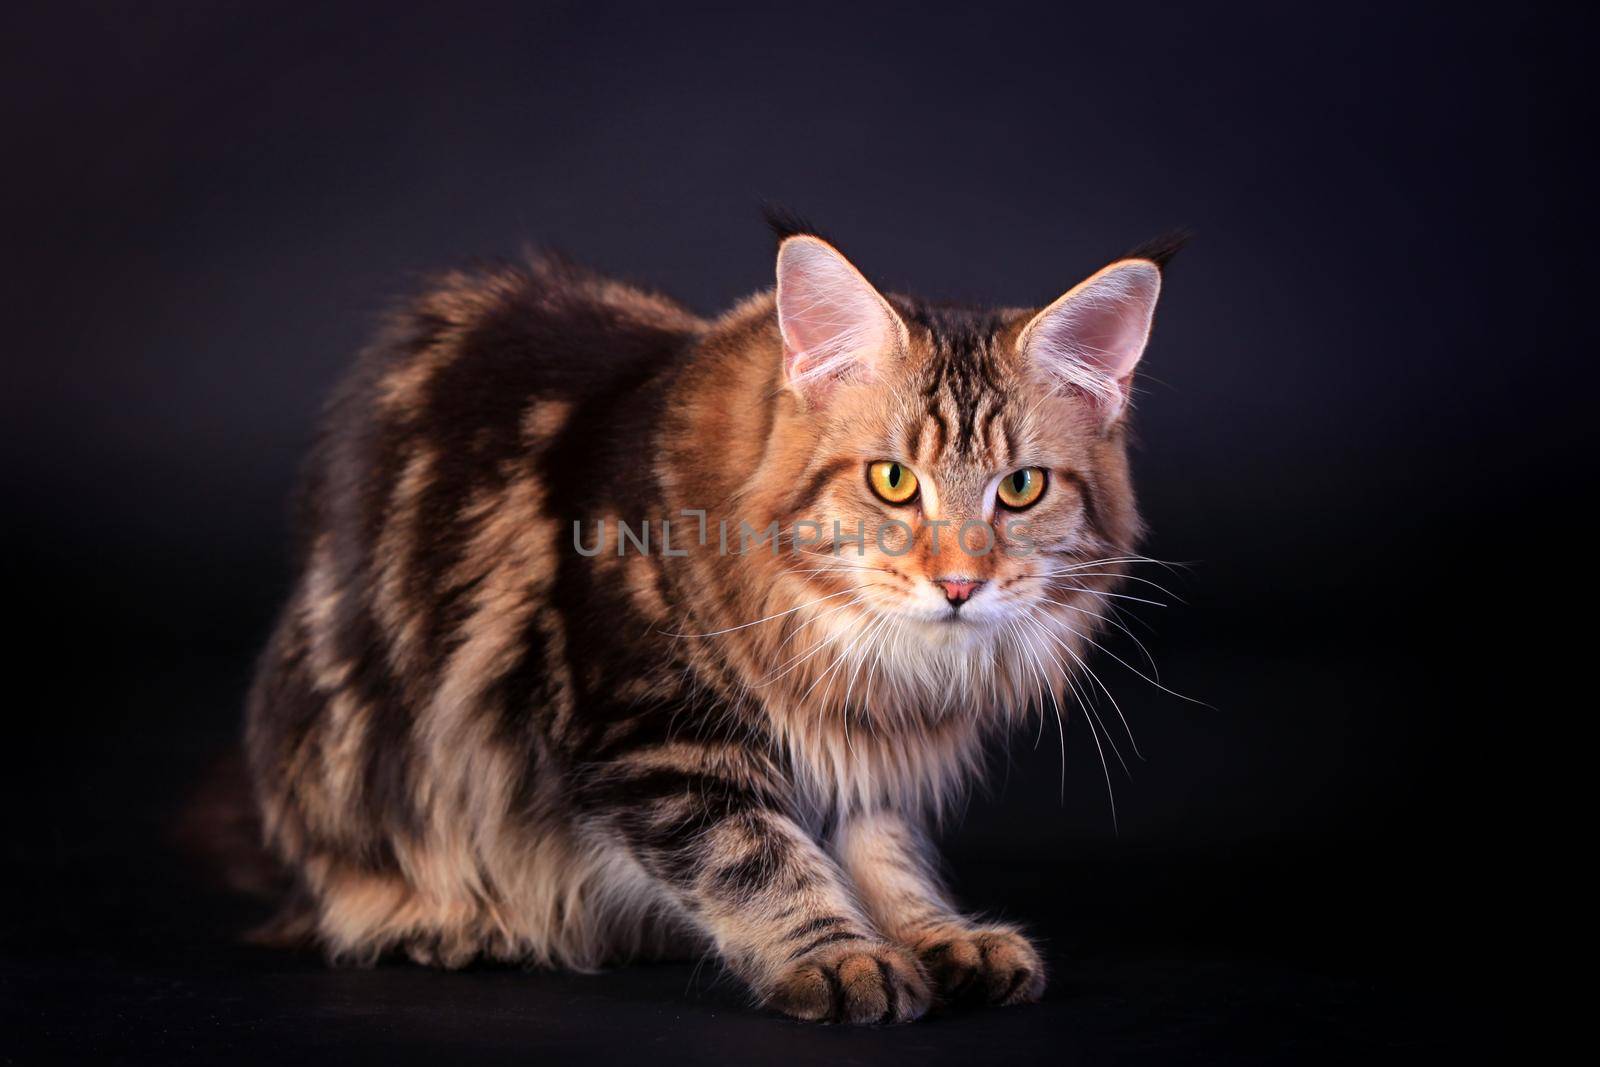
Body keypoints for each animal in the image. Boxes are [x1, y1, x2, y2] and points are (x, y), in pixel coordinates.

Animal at [243, 212, 1184, 1023]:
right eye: (892, 481)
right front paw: (841, 955)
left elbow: (884, 852)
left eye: (1020, 487)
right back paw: (454, 923)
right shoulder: (655, 737)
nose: (957, 584)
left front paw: (936, 934)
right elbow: (759, 855)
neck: (858, 653)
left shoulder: (861, 755)